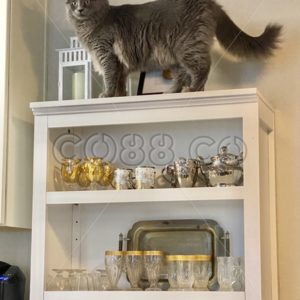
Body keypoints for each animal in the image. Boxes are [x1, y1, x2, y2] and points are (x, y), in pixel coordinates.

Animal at [65, 0, 282, 97]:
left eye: (86, 0)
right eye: (74, 2)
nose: (79, 9)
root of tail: (211, 3)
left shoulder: (106, 53)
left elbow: (110, 77)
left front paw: (107, 94)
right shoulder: (119, 63)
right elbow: (120, 79)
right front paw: (120, 96)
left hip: (186, 47)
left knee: (203, 67)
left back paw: (193, 89)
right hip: (174, 56)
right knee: (182, 75)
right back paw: (173, 91)